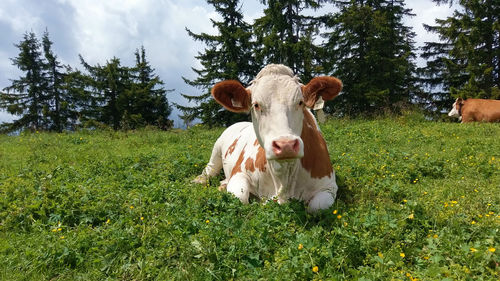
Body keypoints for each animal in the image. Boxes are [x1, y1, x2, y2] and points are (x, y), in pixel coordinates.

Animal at [192, 64, 344, 211]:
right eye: (256, 105)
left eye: (300, 102)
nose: (286, 145)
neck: (284, 178)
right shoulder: (239, 172)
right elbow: (240, 197)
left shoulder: (329, 186)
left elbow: (317, 207)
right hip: (216, 149)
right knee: (210, 169)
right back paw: (199, 180)